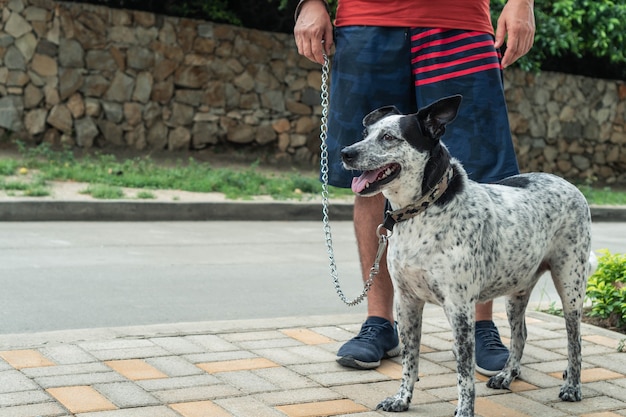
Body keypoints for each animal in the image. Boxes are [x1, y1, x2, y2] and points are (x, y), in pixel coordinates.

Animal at [338, 94, 592, 416]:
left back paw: (573, 386)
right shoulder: (407, 302)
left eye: (388, 137)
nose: (346, 153)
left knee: (576, 340)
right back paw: (507, 375)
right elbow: (409, 359)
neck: (422, 212)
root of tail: (568, 183)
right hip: (517, 291)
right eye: (365, 133)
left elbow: (464, 372)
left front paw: (464, 410)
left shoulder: (460, 308)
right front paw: (402, 399)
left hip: (571, 286)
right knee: (520, 334)